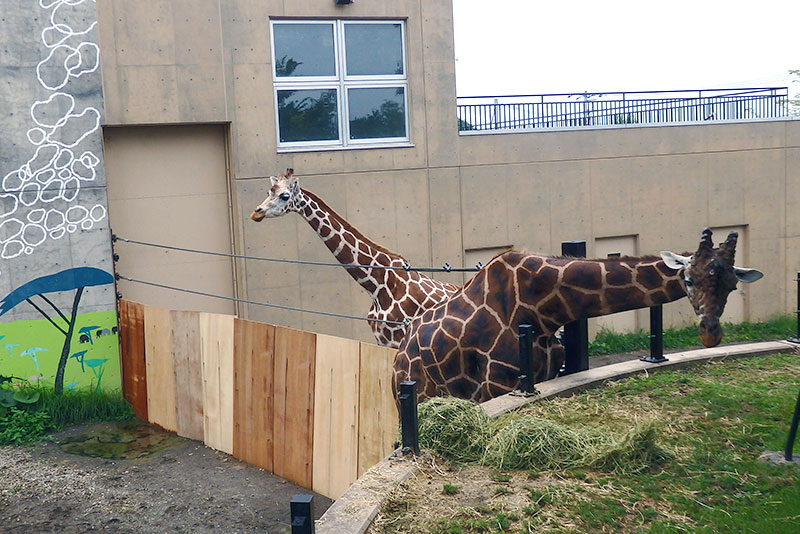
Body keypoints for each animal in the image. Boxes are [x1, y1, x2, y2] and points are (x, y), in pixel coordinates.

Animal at [250, 170, 462, 350]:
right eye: (269, 191)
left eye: (285, 196)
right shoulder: (382, 341)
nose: (256, 213)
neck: (377, 286)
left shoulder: (399, 339)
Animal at [394, 228, 764, 404]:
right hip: (414, 393)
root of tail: (400, 351)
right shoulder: (495, 386)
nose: (709, 332)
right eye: (688, 279)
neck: (542, 308)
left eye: (731, 285)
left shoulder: (541, 375)